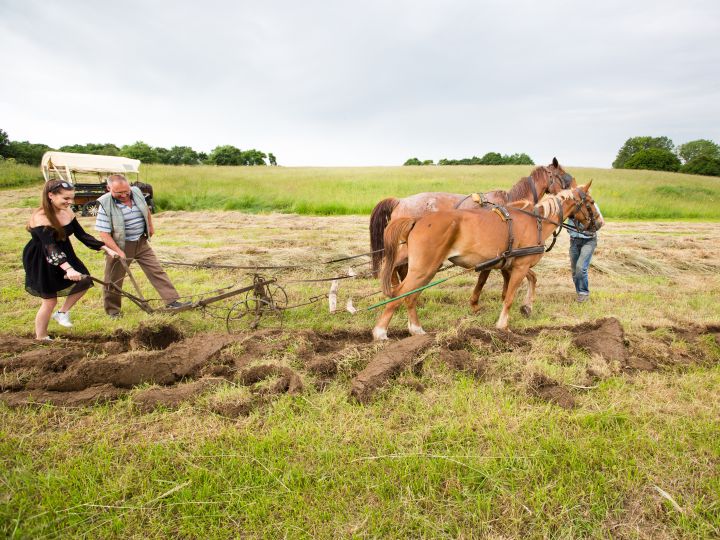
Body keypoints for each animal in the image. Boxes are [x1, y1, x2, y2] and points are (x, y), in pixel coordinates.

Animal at [374, 184, 600, 340]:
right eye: (590, 202)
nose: (598, 223)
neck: (535, 222)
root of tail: (418, 220)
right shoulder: (520, 266)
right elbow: (509, 297)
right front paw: (503, 325)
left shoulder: (513, 264)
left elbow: (530, 280)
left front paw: (527, 306)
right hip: (423, 268)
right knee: (400, 293)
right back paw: (381, 332)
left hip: (426, 268)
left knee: (410, 295)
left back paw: (416, 329)